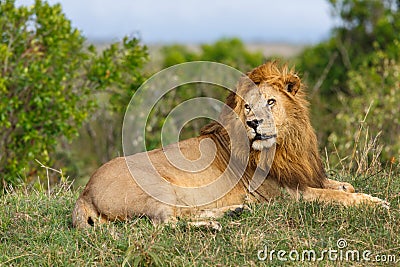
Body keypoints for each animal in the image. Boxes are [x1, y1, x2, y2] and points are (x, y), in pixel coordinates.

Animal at [72, 61, 388, 229]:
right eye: (247, 107)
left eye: (270, 102)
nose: (254, 123)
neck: (285, 146)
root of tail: (85, 192)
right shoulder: (287, 195)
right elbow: (335, 197)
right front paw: (375, 202)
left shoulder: (302, 175)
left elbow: (339, 186)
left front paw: (351, 188)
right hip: (157, 187)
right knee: (165, 221)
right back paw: (212, 225)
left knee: (181, 213)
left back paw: (232, 211)